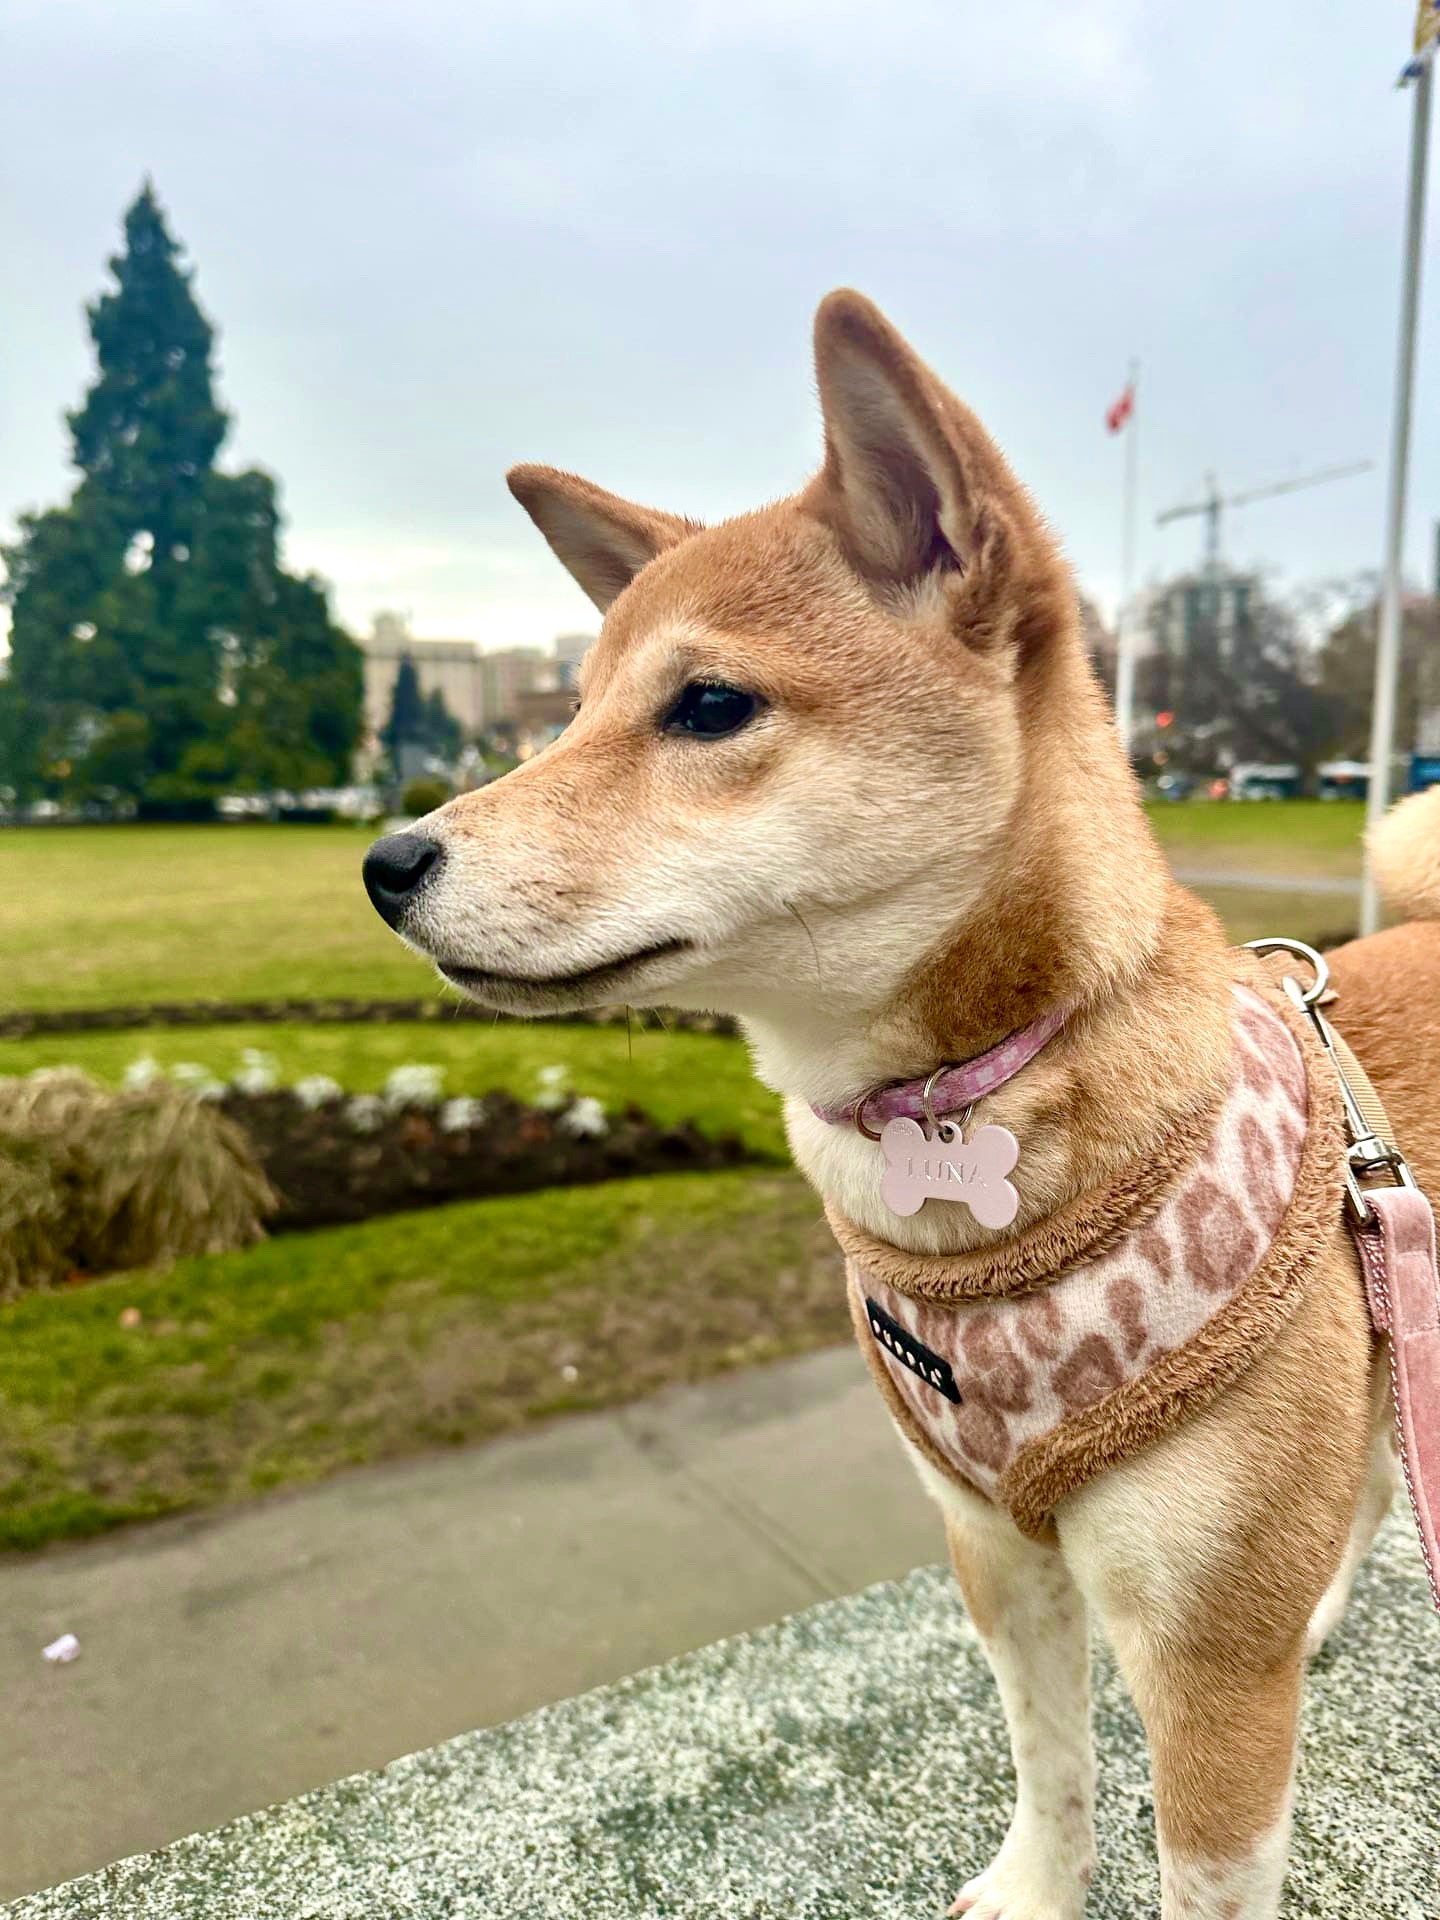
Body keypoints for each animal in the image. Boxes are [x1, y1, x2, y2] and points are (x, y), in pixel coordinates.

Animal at [366, 288, 1440, 1920]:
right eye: (570, 713)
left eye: (708, 705)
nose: (384, 862)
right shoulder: (992, 1542)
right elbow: (1050, 1763)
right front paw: (1038, 1885)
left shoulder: (1204, 1664)